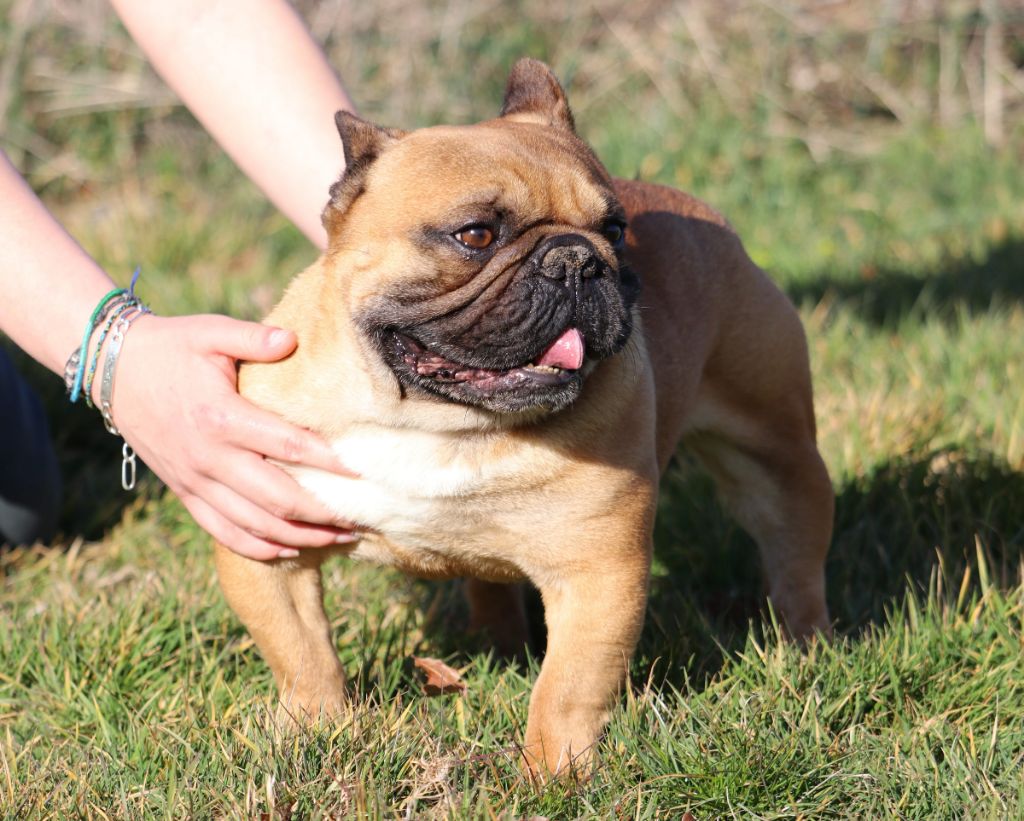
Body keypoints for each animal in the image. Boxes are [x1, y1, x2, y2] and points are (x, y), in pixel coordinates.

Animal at [214, 56, 831, 773]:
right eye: (476, 234)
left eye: (616, 230)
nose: (578, 259)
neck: (441, 422)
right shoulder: (266, 547)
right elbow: (301, 652)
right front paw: (313, 731)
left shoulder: (599, 573)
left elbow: (569, 685)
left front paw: (553, 771)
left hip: (775, 448)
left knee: (793, 549)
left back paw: (807, 649)